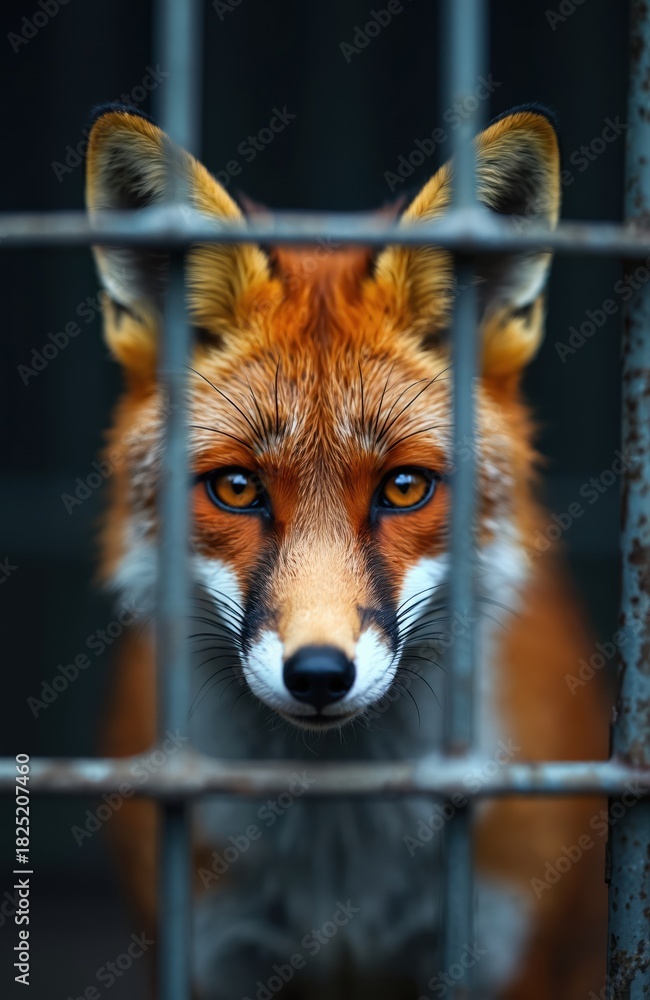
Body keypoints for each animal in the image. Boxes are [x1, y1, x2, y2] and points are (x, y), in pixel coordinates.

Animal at [85, 102, 609, 999]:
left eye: (403, 487)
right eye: (237, 488)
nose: (321, 674)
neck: (340, 867)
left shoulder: (505, 956)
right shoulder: (209, 952)